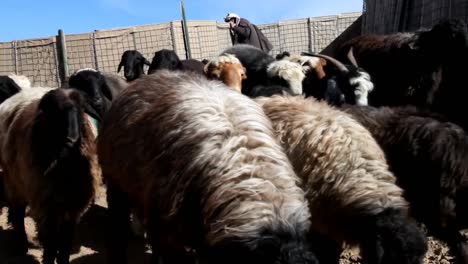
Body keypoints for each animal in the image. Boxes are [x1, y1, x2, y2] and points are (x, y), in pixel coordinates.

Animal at [0, 87, 100, 264]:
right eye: (55, 110)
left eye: (81, 108)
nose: (72, 139)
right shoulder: (47, 206)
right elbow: (52, 243)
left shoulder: (74, 205)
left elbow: (66, 240)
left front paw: (63, 260)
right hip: (14, 181)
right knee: (17, 212)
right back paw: (21, 245)